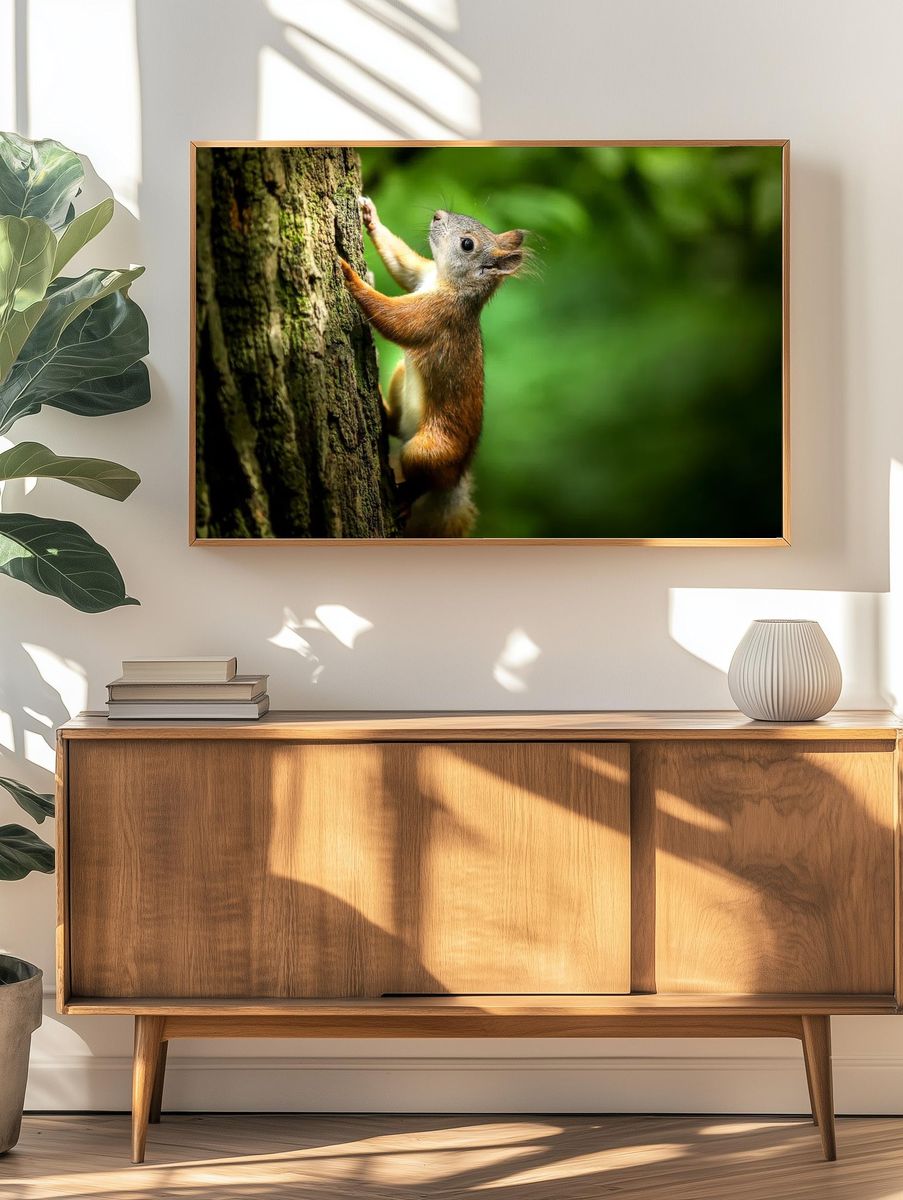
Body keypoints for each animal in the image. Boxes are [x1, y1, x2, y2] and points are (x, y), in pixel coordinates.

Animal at [339, 197, 526, 537]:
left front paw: (349, 276)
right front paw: (370, 216)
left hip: (429, 451)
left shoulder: (437, 316)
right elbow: (404, 266)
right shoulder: (422, 275)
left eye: (467, 244)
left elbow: (394, 320)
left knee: (424, 480)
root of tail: (456, 477)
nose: (437, 215)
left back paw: (406, 499)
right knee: (396, 425)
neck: (446, 282)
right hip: (401, 378)